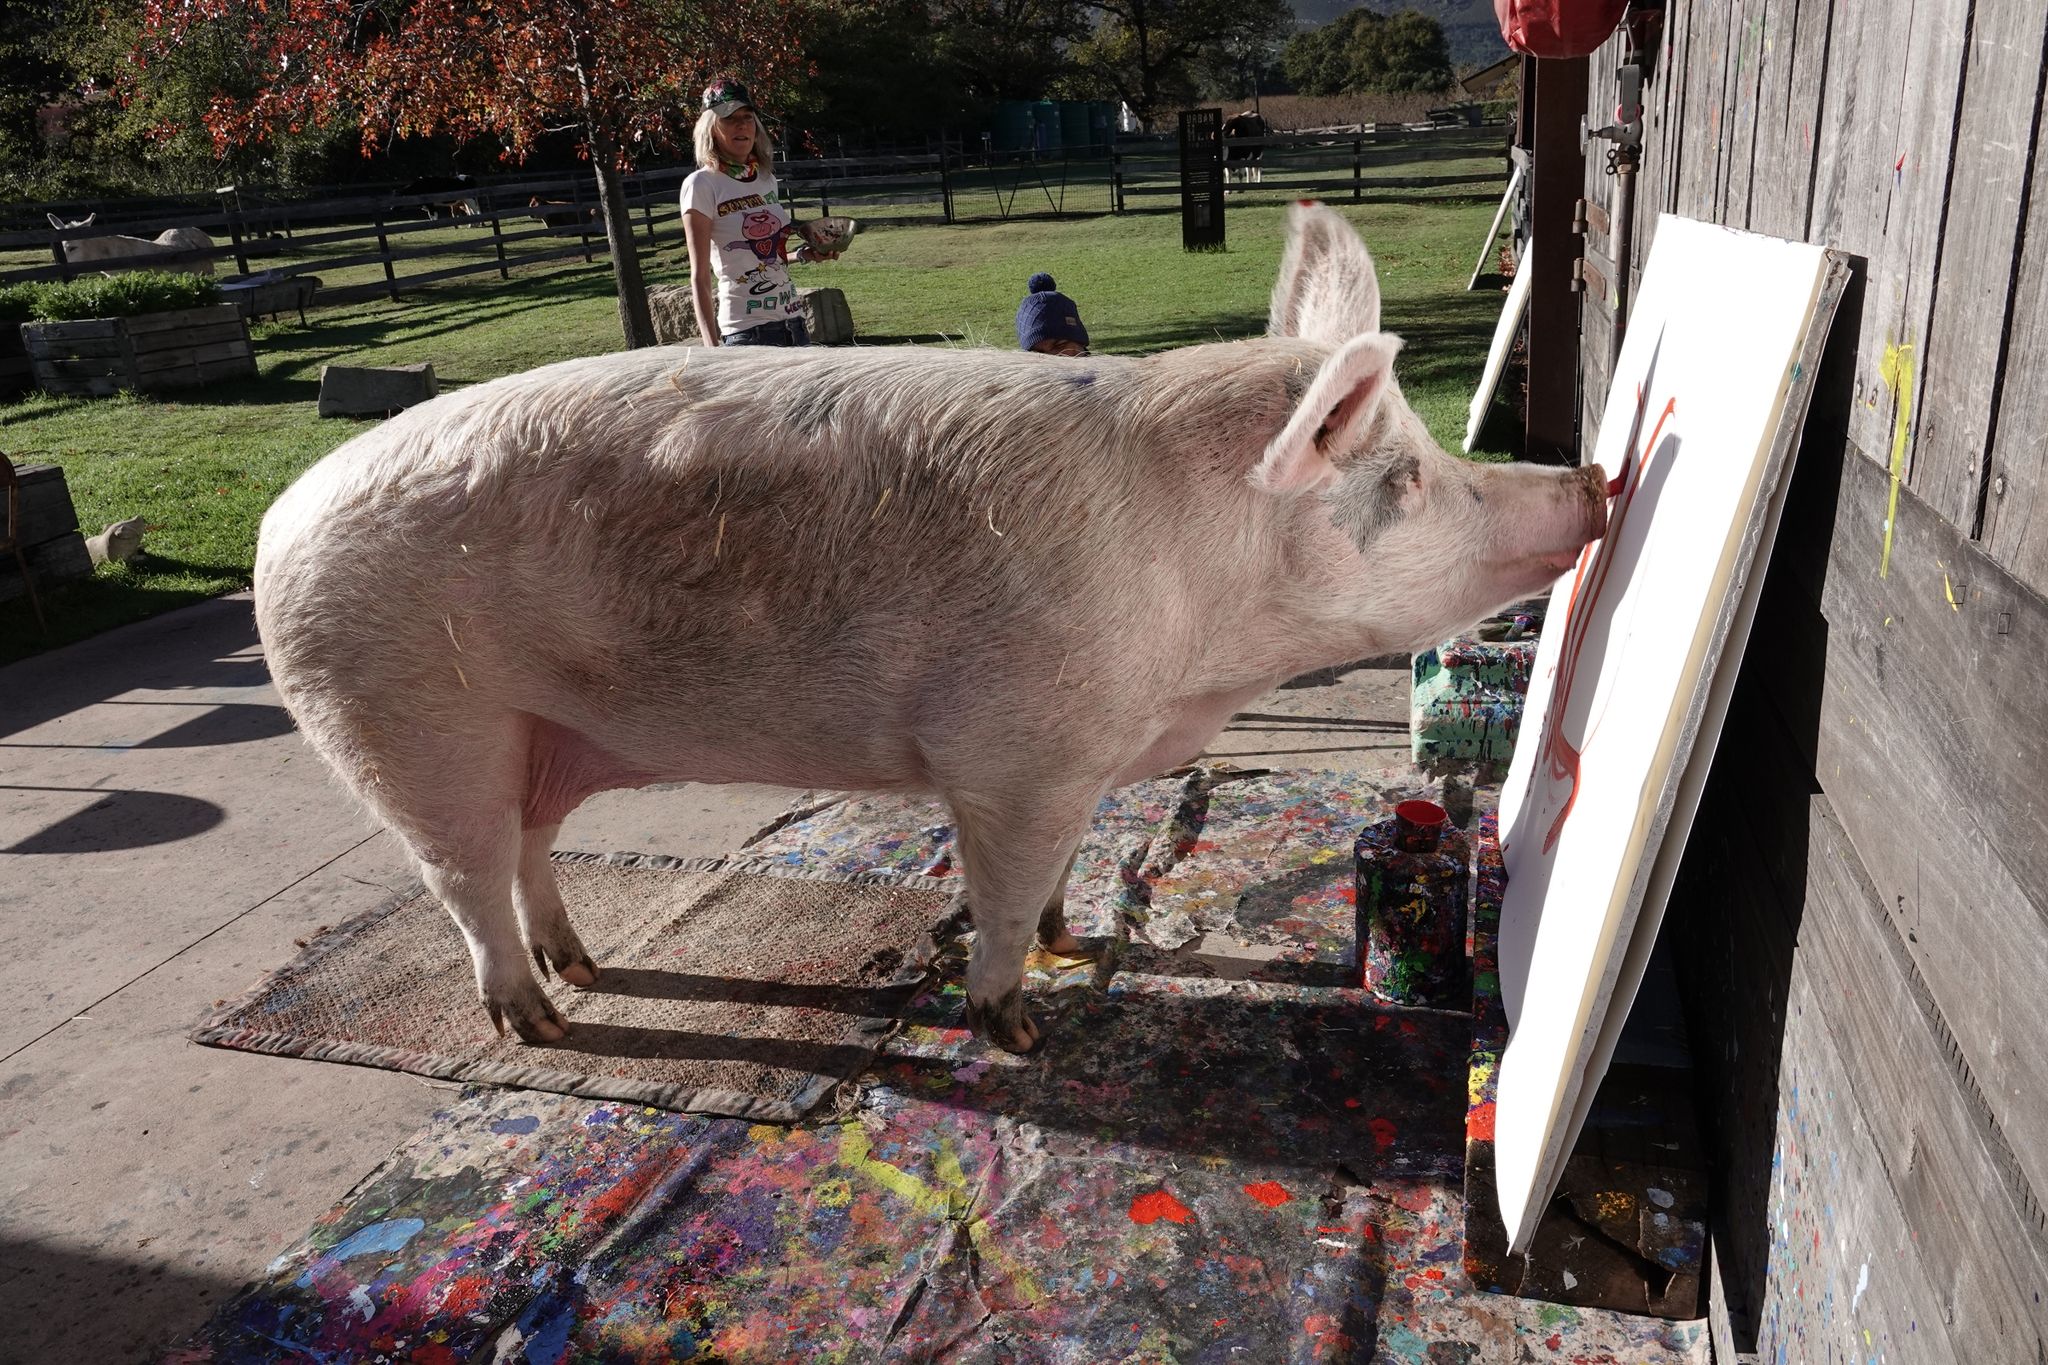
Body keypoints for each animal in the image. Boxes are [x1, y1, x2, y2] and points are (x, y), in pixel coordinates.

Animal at [254, 203, 1606, 1054]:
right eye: (1406, 481)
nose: (1589, 480)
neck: (1193, 659)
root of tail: (278, 518)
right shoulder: (1011, 754)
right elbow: (998, 898)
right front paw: (1022, 1030)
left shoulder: (1079, 756)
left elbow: (1060, 873)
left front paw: (1074, 942)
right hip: (402, 721)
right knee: (461, 877)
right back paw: (544, 1025)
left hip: (534, 732)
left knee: (529, 849)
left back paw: (577, 967)